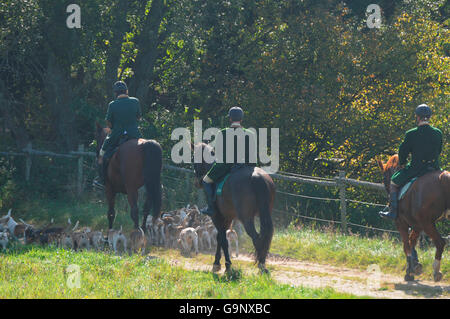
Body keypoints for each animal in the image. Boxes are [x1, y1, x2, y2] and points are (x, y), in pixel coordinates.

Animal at [192, 144, 276, 274]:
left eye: (193, 158)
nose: (197, 182)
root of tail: (257, 176)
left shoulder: (217, 217)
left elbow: (223, 240)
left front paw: (226, 265)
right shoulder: (227, 218)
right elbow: (220, 238)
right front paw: (218, 263)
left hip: (246, 218)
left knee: (256, 238)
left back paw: (261, 265)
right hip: (265, 214)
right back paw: (263, 263)